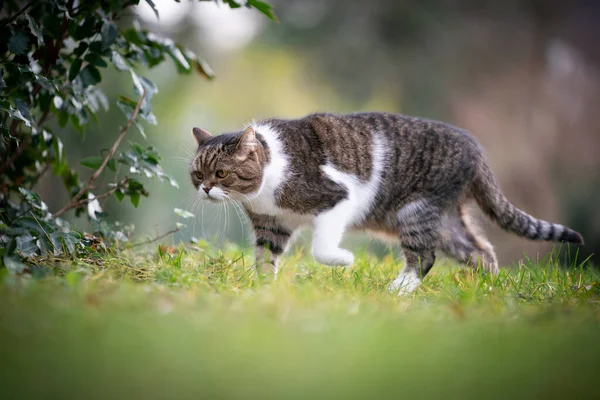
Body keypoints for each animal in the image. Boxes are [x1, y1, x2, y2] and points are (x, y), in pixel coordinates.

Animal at [188, 112, 580, 294]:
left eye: (221, 173)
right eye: (197, 173)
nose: (205, 189)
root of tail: (476, 149)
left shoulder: (338, 198)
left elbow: (321, 247)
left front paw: (344, 260)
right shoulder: (273, 225)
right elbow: (264, 258)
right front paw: (263, 290)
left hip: (416, 210)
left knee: (425, 256)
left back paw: (399, 290)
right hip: (444, 221)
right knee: (480, 250)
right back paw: (484, 288)